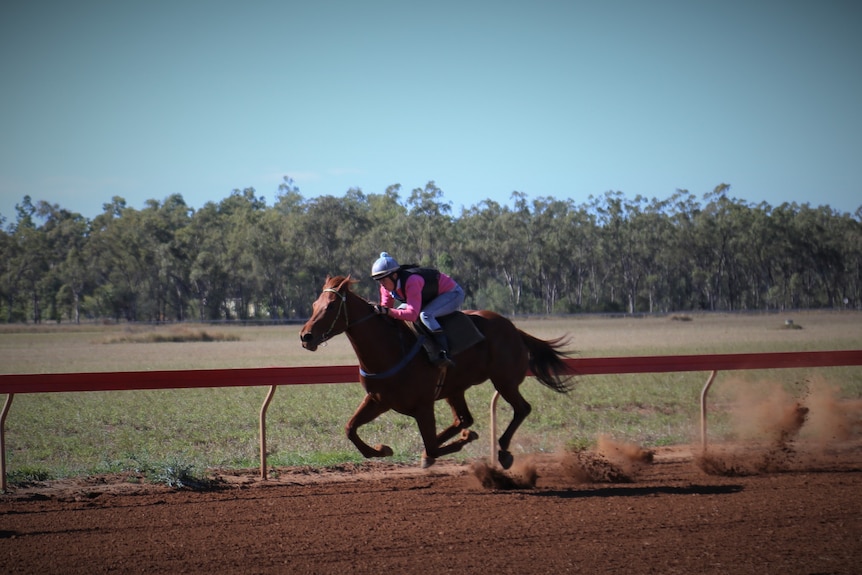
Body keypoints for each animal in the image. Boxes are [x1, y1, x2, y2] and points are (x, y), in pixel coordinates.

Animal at [300, 276, 576, 470]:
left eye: (331, 305)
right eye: (314, 304)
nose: (305, 336)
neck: (392, 349)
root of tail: (514, 328)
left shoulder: (423, 405)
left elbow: (432, 446)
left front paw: (450, 446)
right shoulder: (378, 400)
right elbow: (350, 428)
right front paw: (382, 449)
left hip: (504, 380)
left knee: (521, 409)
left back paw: (504, 451)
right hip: (456, 388)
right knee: (463, 419)